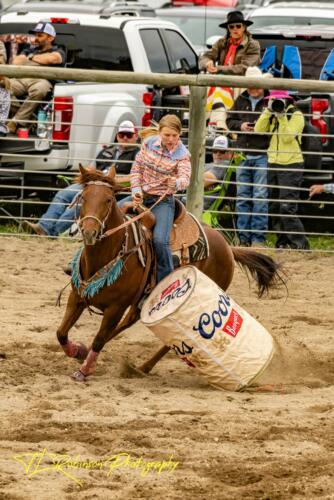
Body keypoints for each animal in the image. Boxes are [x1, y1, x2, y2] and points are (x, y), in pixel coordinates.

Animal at [56, 166, 282, 380]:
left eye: (109, 199)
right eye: (83, 197)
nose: (89, 232)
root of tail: (227, 247)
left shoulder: (116, 307)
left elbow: (99, 338)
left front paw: (84, 371)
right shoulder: (77, 297)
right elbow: (61, 333)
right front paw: (77, 351)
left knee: (172, 341)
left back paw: (143, 367)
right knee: (130, 322)